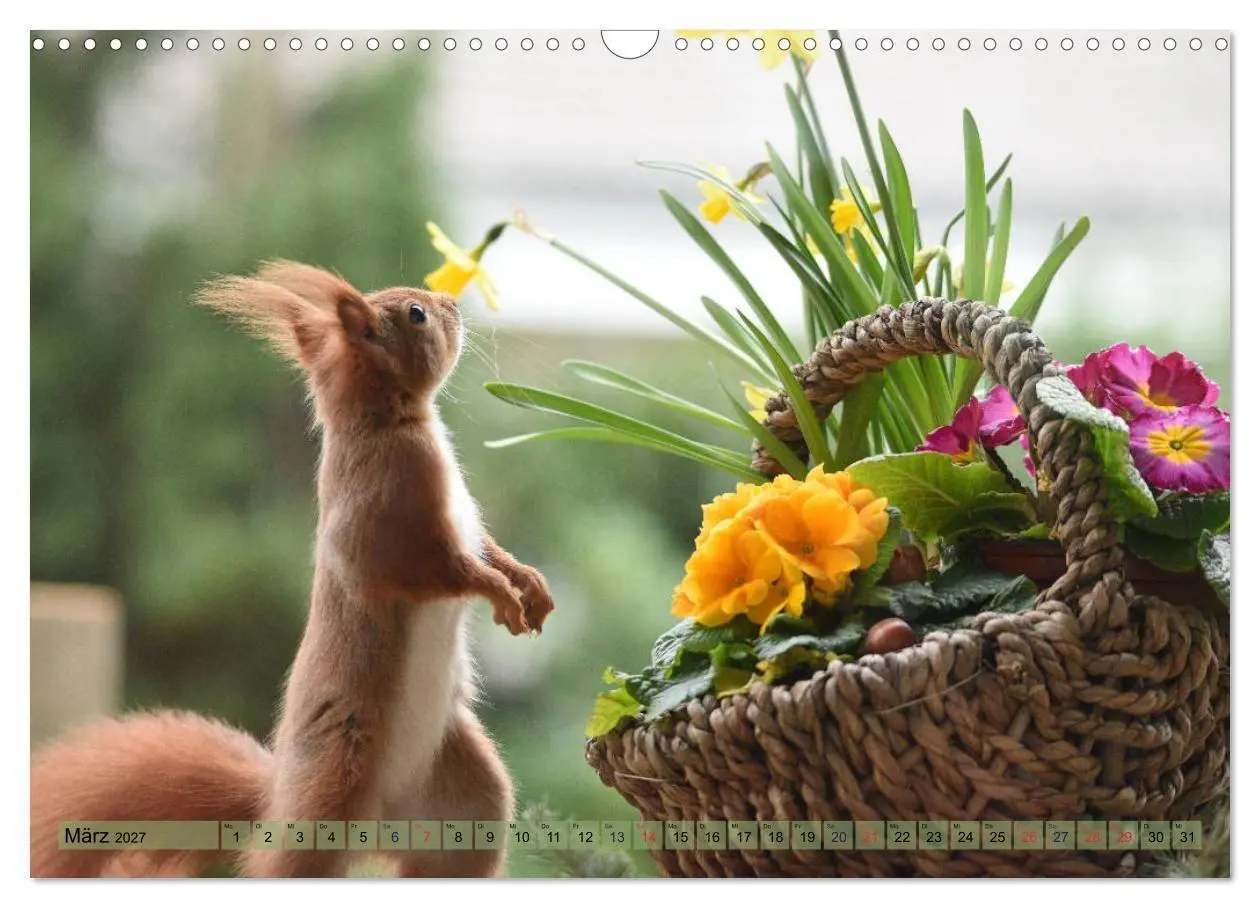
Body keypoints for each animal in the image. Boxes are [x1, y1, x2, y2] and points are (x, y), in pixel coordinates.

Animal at [30, 262, 555, 878]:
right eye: (416, 315)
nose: (451, 303)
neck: (380, 420)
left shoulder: (462, 523)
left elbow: (487, 550)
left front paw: (529, 583)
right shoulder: (387, 522)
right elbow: (437, 571)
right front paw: (500, 593)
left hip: (466, 804)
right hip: (328, 793)